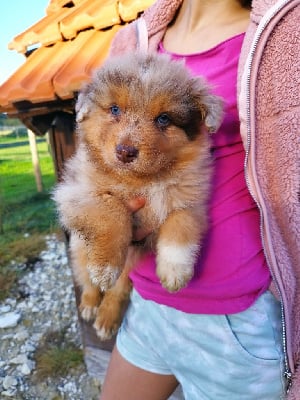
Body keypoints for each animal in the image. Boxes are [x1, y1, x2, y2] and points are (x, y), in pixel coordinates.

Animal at [53, 52, 223, 340]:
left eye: (164, 119)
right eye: (114, 110)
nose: (125, 152)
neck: (143, 180)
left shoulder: (191, 199)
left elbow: (180, 226)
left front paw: (174, 270)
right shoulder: (75, 193)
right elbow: (112, 209)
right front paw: (105, 266)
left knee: (118, 290)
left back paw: (106, 319)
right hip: (78, 247)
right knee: (86, 278)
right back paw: (90, 304)